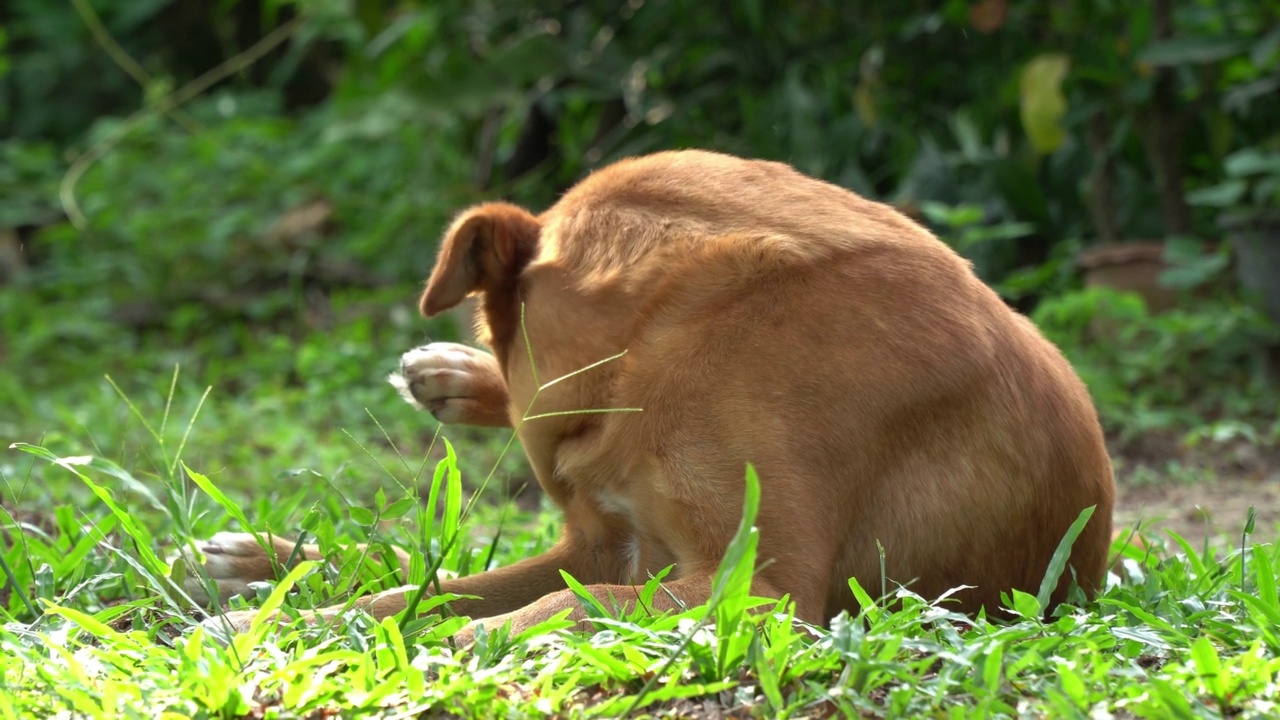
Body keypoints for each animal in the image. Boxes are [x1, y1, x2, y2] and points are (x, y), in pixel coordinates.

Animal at [189, 148, 1111, 635]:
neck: (657, 338)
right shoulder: (604, 539)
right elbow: (418, 590)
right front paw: (295, 615)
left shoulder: (758, 588)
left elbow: (551, 602)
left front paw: (452, 641)